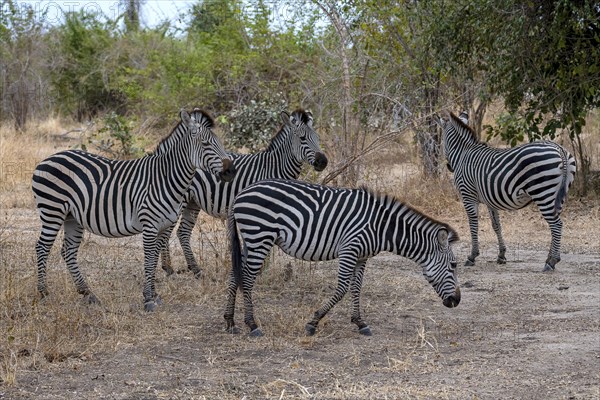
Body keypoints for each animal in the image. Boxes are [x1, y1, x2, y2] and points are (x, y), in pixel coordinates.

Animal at [31, 108, 236, 310]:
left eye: (219, 143)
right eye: (205, 143)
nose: (231, 172)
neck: (165, 177)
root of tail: (47, 159)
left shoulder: (163, 226)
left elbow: (154, 258)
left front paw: (154, 294)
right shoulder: (150, 224)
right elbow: (149, 260)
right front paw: (148, 299)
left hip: (72, 217)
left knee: (68, 251)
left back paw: (88, 293)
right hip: (52, 211)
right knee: (42, 247)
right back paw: (43, 293)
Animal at [159, 109, 328, 278]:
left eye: (318, 138)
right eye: (302, 138)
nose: (323, 162)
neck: (274, 167)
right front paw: (259, 269)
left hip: (193, 202)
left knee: (183, 232)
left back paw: (195, 269)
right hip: (180, 199)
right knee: (166, 232)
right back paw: (168, 268)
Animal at [223, 180, 462, 336]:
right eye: (453, 265)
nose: (457, 301)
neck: (381, 228)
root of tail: (240, 194)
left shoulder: (362, 256)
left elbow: (356, 288)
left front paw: (360, 322)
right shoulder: (350, 249)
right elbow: (342, 289)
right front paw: (313, 322)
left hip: (251, 240)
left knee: (235, 274)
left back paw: (230, 322)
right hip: (260, 237)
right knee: (247, 278)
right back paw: (252, 325)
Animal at [440, 112, 576, 272]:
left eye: (442, 141)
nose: (449, 167)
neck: (463, 155)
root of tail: (559, 148)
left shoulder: (468, 196)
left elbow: (473, 224)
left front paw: (472, 256)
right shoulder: (489, 199)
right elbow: (496, 225)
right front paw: (501, 255)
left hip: (543, 192)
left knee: (556, 225)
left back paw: (551, 262)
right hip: (558, 195)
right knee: (555, 226)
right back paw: (550, 258)